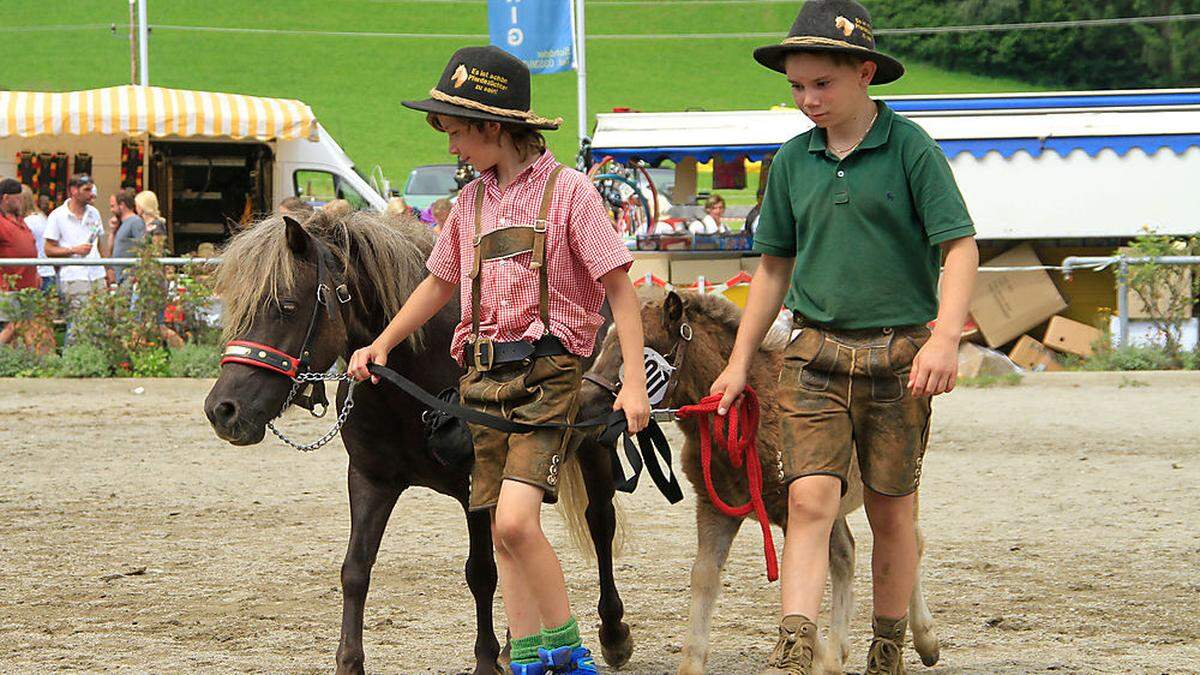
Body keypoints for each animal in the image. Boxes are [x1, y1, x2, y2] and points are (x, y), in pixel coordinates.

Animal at [204, 210, 638, 672]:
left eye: (286, 306)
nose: (222, 409)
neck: (409, 377)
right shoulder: (370, 480)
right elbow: (355, 569)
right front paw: (349, 661)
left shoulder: (473, 489)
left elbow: (482, 572)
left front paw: (486, 659)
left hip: (591, 447)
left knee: (599, 522)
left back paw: (612, 632)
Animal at [578, 289, 936, 672]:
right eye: (605, 343)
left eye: (639, 350)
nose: (582, 406)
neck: (745, 414)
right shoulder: (716, 509)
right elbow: (704, 576)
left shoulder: (789, 512)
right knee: (846, 553)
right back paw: (837, 652)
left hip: (892, 483)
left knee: (909, 541)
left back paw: (926, 639)